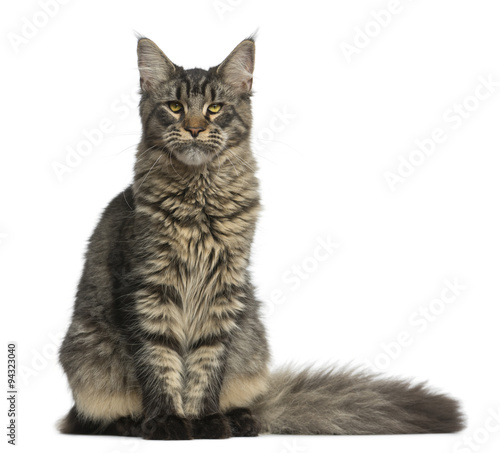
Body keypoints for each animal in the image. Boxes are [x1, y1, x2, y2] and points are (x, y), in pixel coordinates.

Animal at [58, 35, 464, 438]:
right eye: (174, 107)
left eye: (215, 108)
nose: (194, 128)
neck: (199, 198)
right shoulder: (150, 288)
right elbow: (160, 363)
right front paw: (170, 422)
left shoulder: (222, 290)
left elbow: (206, 365)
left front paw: (204, 421)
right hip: (87, 355)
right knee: (85, 418)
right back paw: (129, 423)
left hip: (251, 339)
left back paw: (240, 419)